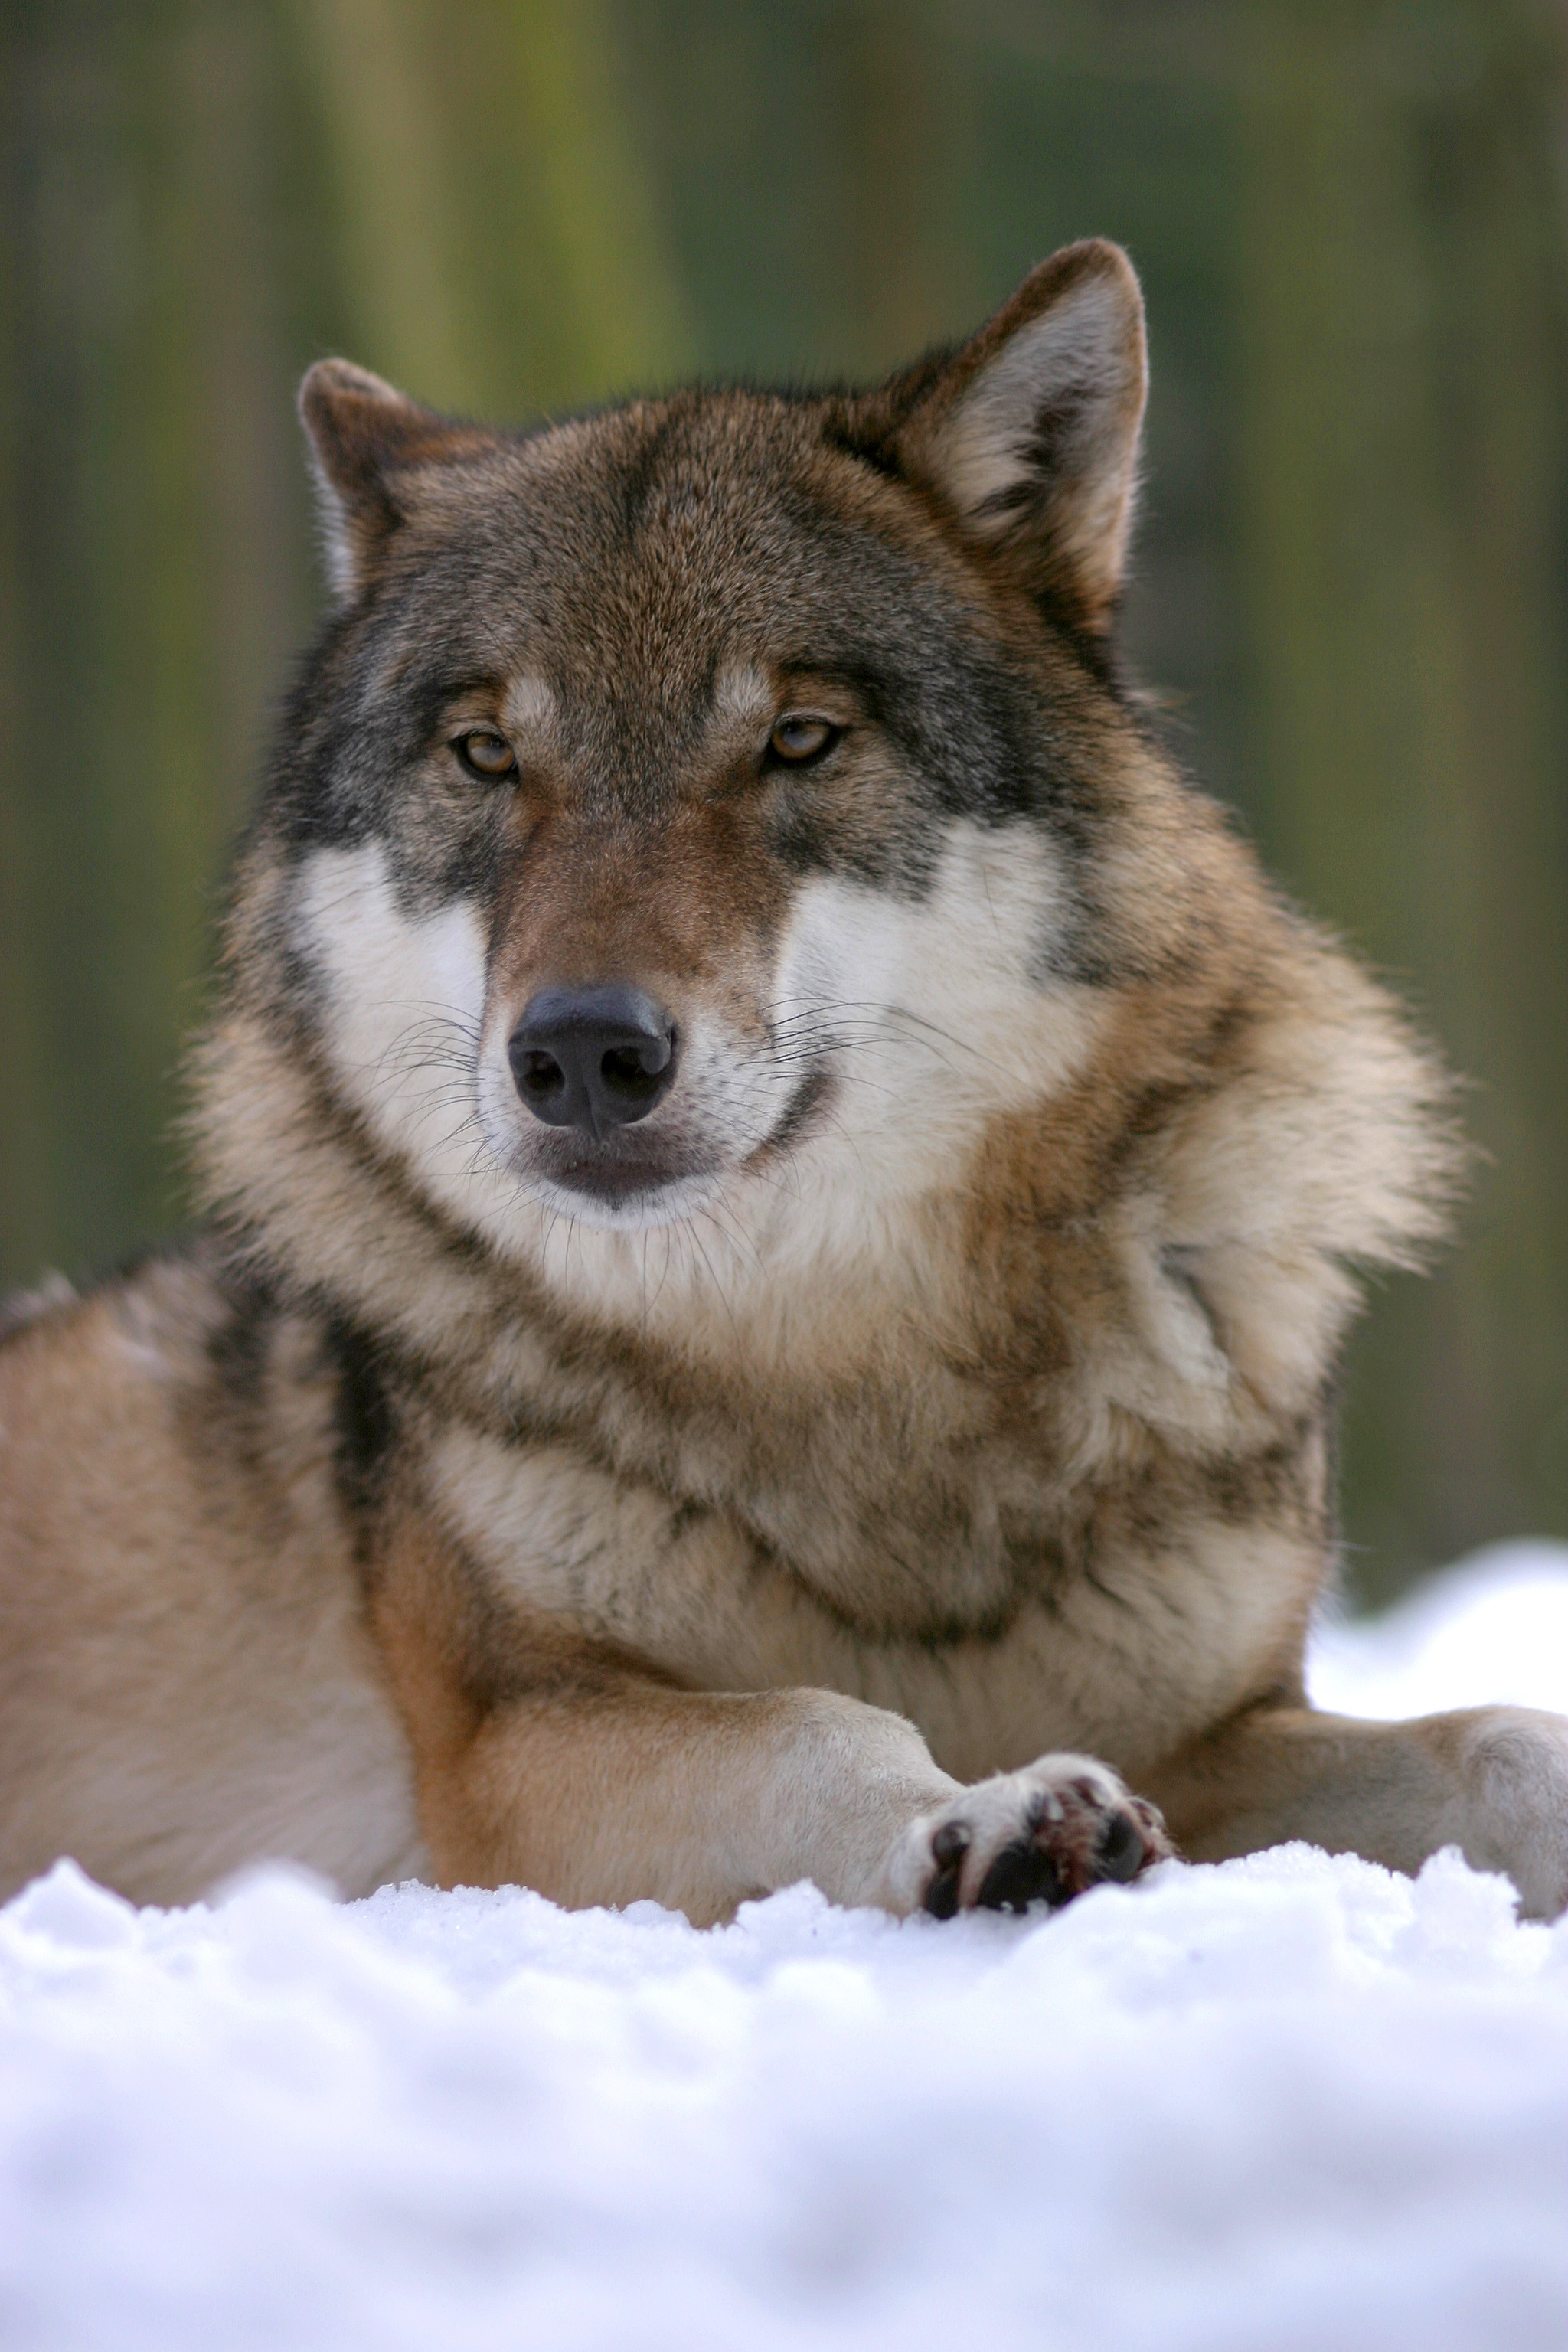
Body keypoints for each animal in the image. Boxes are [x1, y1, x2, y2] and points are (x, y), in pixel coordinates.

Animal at [3, 239, 1566, 1923]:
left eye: (799, 740)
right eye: (486, 756)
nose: (582, 1052)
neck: (839, 1354)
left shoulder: (1218, 1731)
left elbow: (1502, 1742)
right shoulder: (510, 1753)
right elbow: (828, 1722)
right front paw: (993, 1813)